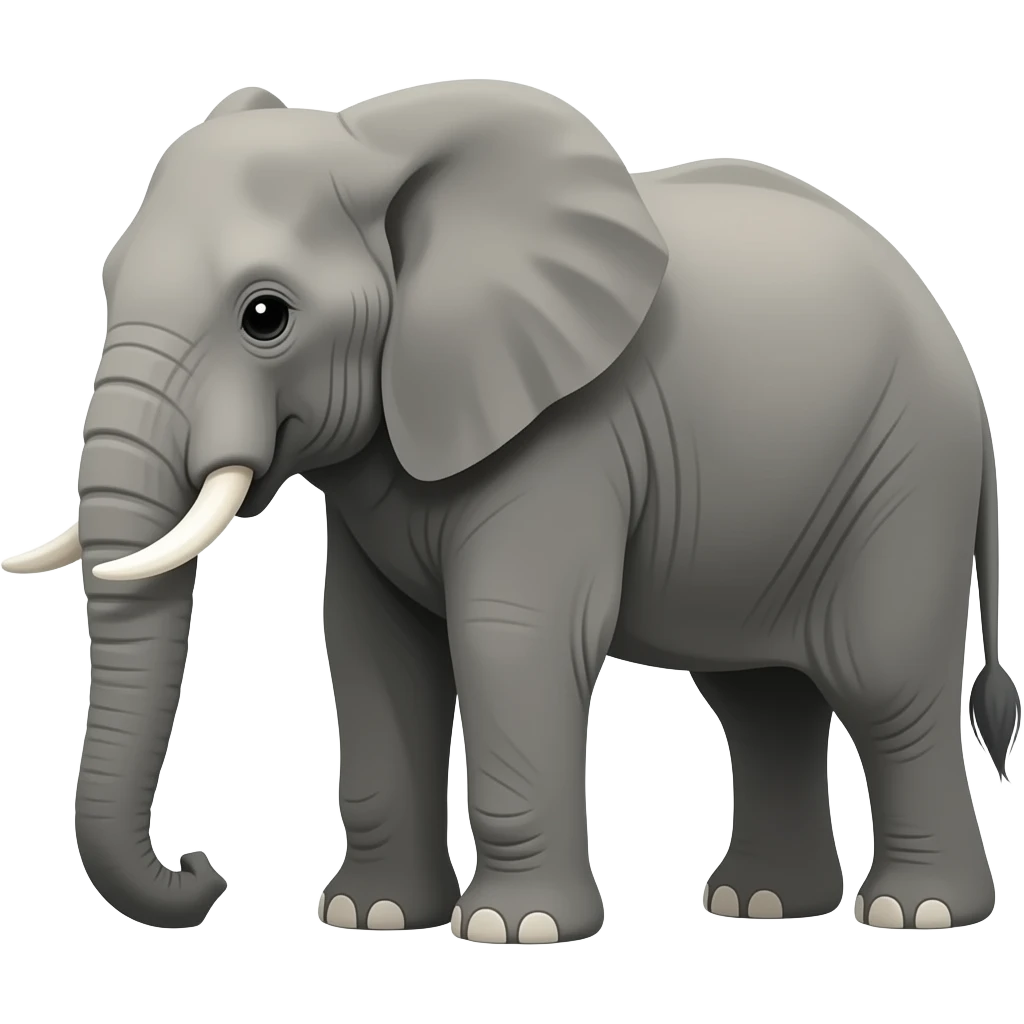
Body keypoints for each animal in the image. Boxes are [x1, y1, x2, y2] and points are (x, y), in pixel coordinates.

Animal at [3, 81, 1019, 939]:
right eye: (107, 284)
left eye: (265, 316)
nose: (203, 869)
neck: (376, 133)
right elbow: (372, 650)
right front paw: (372, 918)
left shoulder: (567, 438)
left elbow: (510, 636)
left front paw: (509, 929)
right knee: (762, 696)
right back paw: (758, 903)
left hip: (908, 475)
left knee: (882, 676)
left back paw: (915, 913)